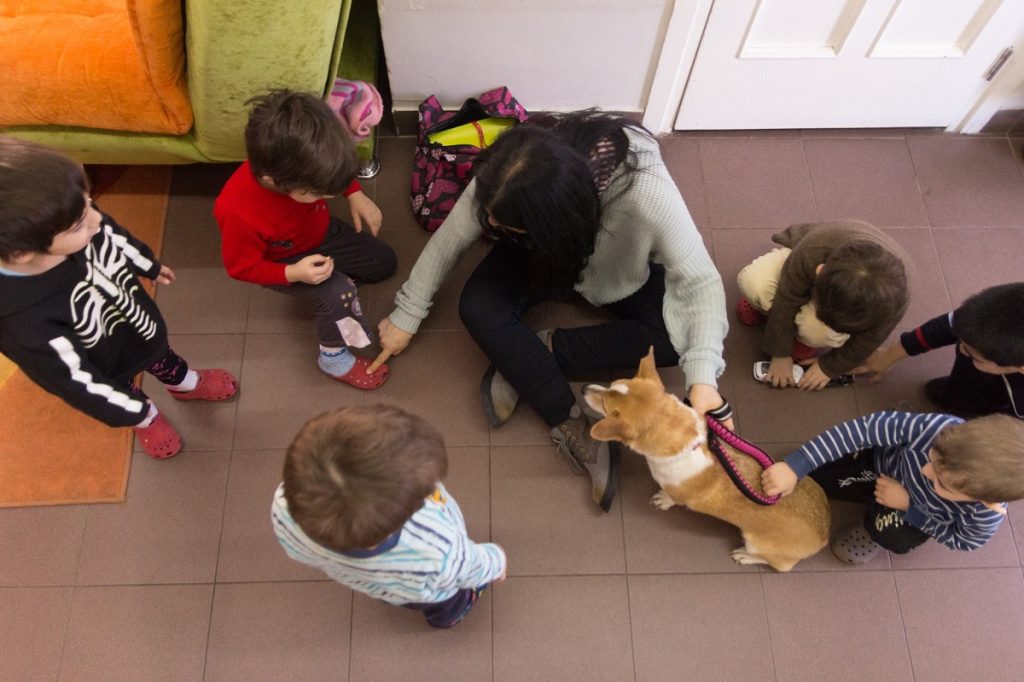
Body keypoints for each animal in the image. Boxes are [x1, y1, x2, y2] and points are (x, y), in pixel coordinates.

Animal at [581, 348, 827, 569]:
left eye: (606, 407)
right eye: (612, 384)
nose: (583, 387)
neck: (687, 440)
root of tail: (824, 536)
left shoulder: (677, 492)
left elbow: (672, 498)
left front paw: (663, 500)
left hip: (758, 544)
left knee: (779, 565)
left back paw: (745, 556)